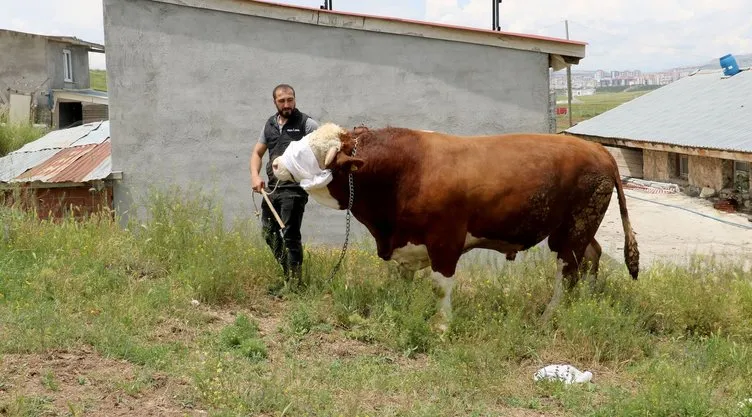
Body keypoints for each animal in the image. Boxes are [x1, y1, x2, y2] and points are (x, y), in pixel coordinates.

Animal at [274, 122, 636, 322]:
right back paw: (588, 300)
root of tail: (598, 150)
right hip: (578, 228)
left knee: (568, 271)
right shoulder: (405, 243)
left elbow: (440, 285)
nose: (276, 163)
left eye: (310, 152)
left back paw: (549, 316)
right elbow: (401, 280)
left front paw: (442, 325)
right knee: (591, 257)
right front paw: (401, 309)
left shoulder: (445, 239)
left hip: (573, 229)